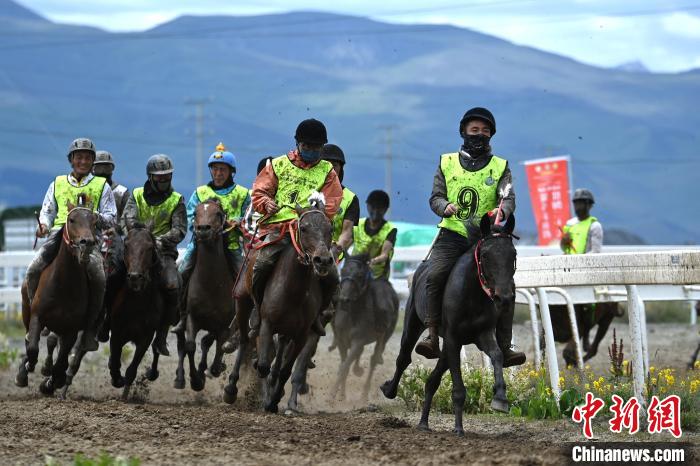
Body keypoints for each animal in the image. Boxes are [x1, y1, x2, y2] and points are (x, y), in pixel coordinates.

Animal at [15, 201, 99, 397]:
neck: (63, 285)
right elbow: (33, 349)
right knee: (28, 339)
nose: (87, 243)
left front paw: (51, 382)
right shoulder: (37, 317)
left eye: (94, 221)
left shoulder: (71, 330)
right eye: (72, 219)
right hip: (27, 312)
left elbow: (61, 362)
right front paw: (27, 369)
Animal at [107, 224, 165, 400]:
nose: (134, 277)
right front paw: (117, 379)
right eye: (126, 245)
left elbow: (132, 369)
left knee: (157, 348)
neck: (136, 304)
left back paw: (152, 372)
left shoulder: (146, 336)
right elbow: (115, 361)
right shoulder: (117, 331)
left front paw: (125, 393)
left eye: (150, 247)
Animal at [174, 199, 235, 391]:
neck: (211, 285)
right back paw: (180, 379)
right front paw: (195, 381)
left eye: (218, 213)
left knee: (208, 343)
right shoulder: (192, 317)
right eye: (195, 213)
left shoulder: (223, 325)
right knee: (181, 344)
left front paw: (211, 370)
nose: (202, 229)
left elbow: (219, 349)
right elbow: (190, 346)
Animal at [224, 200, 335, 413]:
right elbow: (263, 366)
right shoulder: (267, 324)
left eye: (330, 229)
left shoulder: (301, 335)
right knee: (244, 341)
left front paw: (274, 401)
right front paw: (267, 398)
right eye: (304, 228)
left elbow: (284, 370)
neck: (294, 291)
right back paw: (231, 389)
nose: (323, 260)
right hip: (242, 302)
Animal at [381, 214, 517, 436]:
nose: (504, 298)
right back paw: (390, 390)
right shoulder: (453, 337)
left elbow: (497, 355)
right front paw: (459, 428)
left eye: (513, 254)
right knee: (403, 358)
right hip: (413, 323)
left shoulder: (482, 334)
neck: (472, 295)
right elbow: (458, 389)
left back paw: (424, 422)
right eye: (486, 255)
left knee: (432, 380)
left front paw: (500, 398)